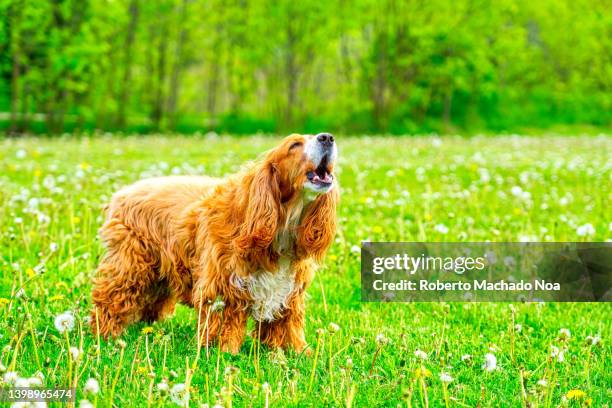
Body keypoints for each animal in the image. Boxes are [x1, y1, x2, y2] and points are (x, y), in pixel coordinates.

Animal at [91, 132, 340, 352]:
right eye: (294, 145)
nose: (327, 137)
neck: (282, 225)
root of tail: (121, 194)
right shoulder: (223, 285)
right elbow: (224, 324)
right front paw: (223, 352)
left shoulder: (289, 292)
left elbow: (288, 324)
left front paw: (296, 351)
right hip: (131, 267)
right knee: (108, 298)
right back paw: (105, 335)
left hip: (158, 276)